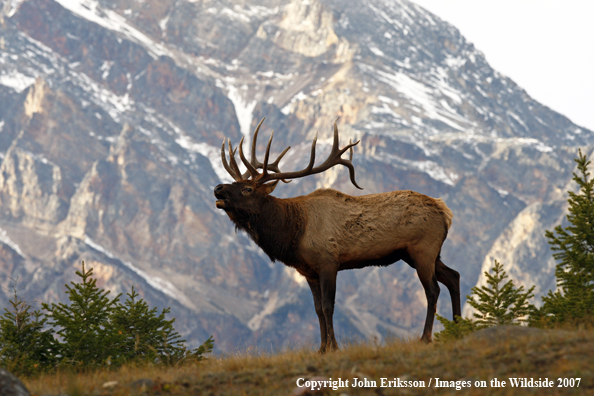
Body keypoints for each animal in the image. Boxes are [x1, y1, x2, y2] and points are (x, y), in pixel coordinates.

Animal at [213, 118, 458, 352]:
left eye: (247, 189)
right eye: (234, 183)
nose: (218, 188)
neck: (293, 233)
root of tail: (445, 211)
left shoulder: (328, 262)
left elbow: (328, 306)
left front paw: (335, 347)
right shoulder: (308, 271)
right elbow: (318, 309)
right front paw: (322, 348)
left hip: (423, 249)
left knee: (433, 290)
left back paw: (425, 338)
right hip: (423, 254)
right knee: (453, 276)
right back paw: (458, 327)